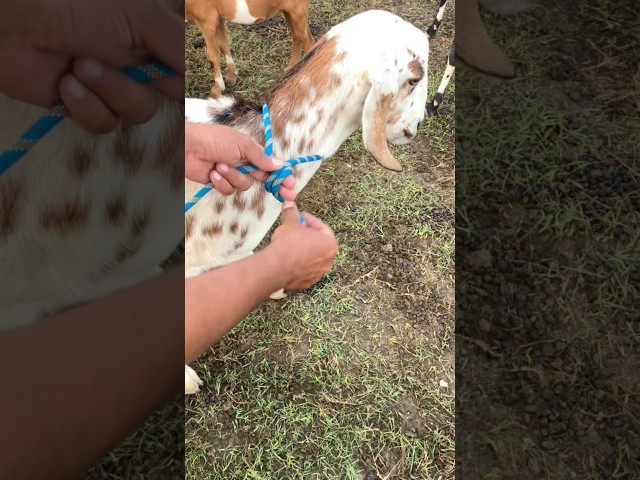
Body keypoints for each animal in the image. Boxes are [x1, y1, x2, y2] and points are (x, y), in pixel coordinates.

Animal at [186, 0, 315, 98]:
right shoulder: (218, 18)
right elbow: (224, 44)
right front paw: (231, 76)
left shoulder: (207, 19)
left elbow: (212, 55)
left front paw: (217, 89)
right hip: (288, 11)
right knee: (297, 36)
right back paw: (291, 68)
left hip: (298, 10)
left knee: (309, 42)